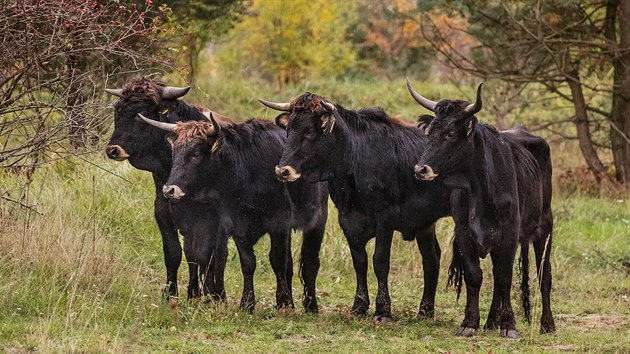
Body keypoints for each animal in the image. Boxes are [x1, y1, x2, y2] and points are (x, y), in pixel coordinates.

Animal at [104, 76, 230, 302]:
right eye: (118, 110)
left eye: (140, 115)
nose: (113, 150)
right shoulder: (162, 210)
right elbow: (174, 253)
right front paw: (171, 293)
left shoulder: (206, 217)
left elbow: (205, 255)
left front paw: (206, 294)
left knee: (219, 255)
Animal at [139, 114, 330, 312]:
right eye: (174, 153)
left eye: (196, 154)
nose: (169, 190)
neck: (246, 171)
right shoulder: (237, 225)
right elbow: (248, 263)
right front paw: (247, 303)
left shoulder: (279, 223)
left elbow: (277, 262)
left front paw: (283, 303)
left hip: (317, 221)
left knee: (309, 263)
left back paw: (311, 306)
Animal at [260, 92, 452, 324]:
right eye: (289, 130)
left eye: (309, 131)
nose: (283, 171)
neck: (357, 157)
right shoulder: (348, 220)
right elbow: (359, 262)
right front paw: (359, 306)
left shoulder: (385, 219)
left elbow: (380, 261)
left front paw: (383, 310)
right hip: (425, 224)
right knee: (431, 258)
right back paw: (425, 311)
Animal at [408, 79, 556, 338]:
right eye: (430, 132)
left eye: (451, 134)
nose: (420, 169)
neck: (480, 189)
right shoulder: (465, 233)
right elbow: (475, 276)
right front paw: (470, 322)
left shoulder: (508, 235)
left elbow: (505, 278)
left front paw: (509, 326)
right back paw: (490, 322)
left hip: (544, 227)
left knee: (543, 274)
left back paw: (547, 324)